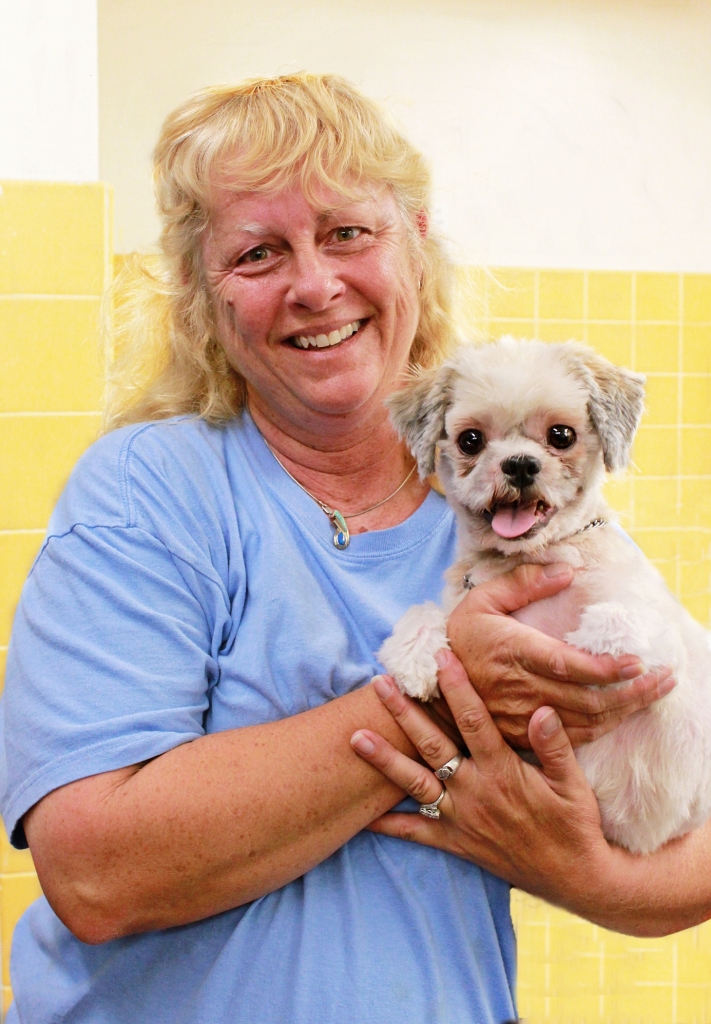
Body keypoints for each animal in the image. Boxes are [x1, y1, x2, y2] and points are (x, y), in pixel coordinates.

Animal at [381, 337, 711, 856]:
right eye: (470, 440)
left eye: (561, 435)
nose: (519, 464)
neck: (529, 558)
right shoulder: (463, 599)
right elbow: (425, 611)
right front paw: (414, 656)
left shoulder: (664, 644)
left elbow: (622, 620)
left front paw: (588, 644)